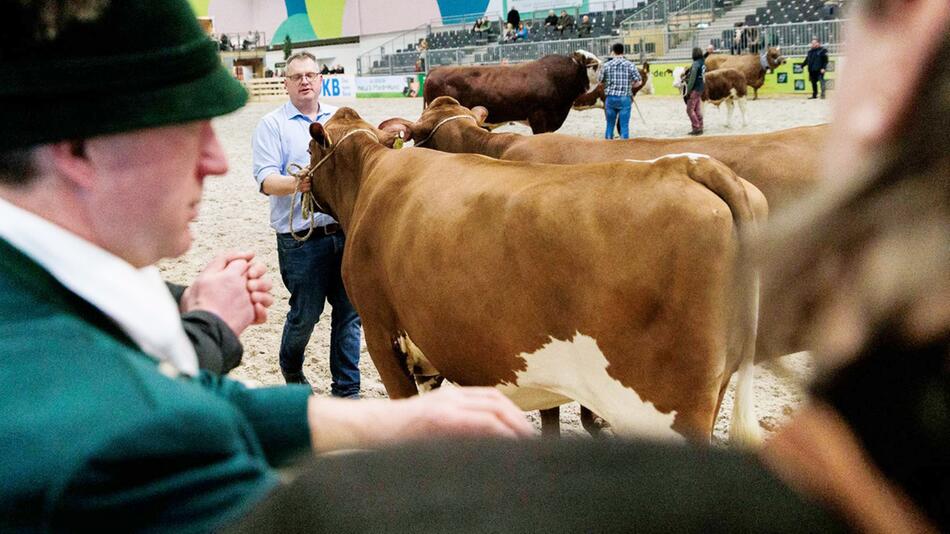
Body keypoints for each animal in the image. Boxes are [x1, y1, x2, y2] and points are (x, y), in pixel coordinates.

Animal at [308, 107, 764, 446]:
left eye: (312, 147)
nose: (299, 179)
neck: (372, 176)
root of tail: (689, 166)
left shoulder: (380, 331)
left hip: (664, 410)